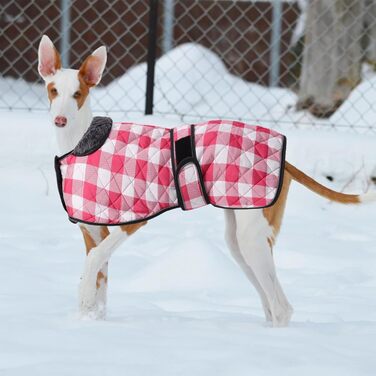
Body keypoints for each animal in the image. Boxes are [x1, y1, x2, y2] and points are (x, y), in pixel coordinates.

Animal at [37, 36, 374, 328]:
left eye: (77, 94)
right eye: (53, 90)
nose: (60, 120)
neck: (82, 142)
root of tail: (283, 153)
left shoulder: (132, 221)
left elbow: (92, 265)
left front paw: (83, 304)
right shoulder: (93, 231)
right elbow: (99, 281)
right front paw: (90, 321)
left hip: (252, 238)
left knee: (281, 308)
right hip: (239, 241)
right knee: (270, 305)